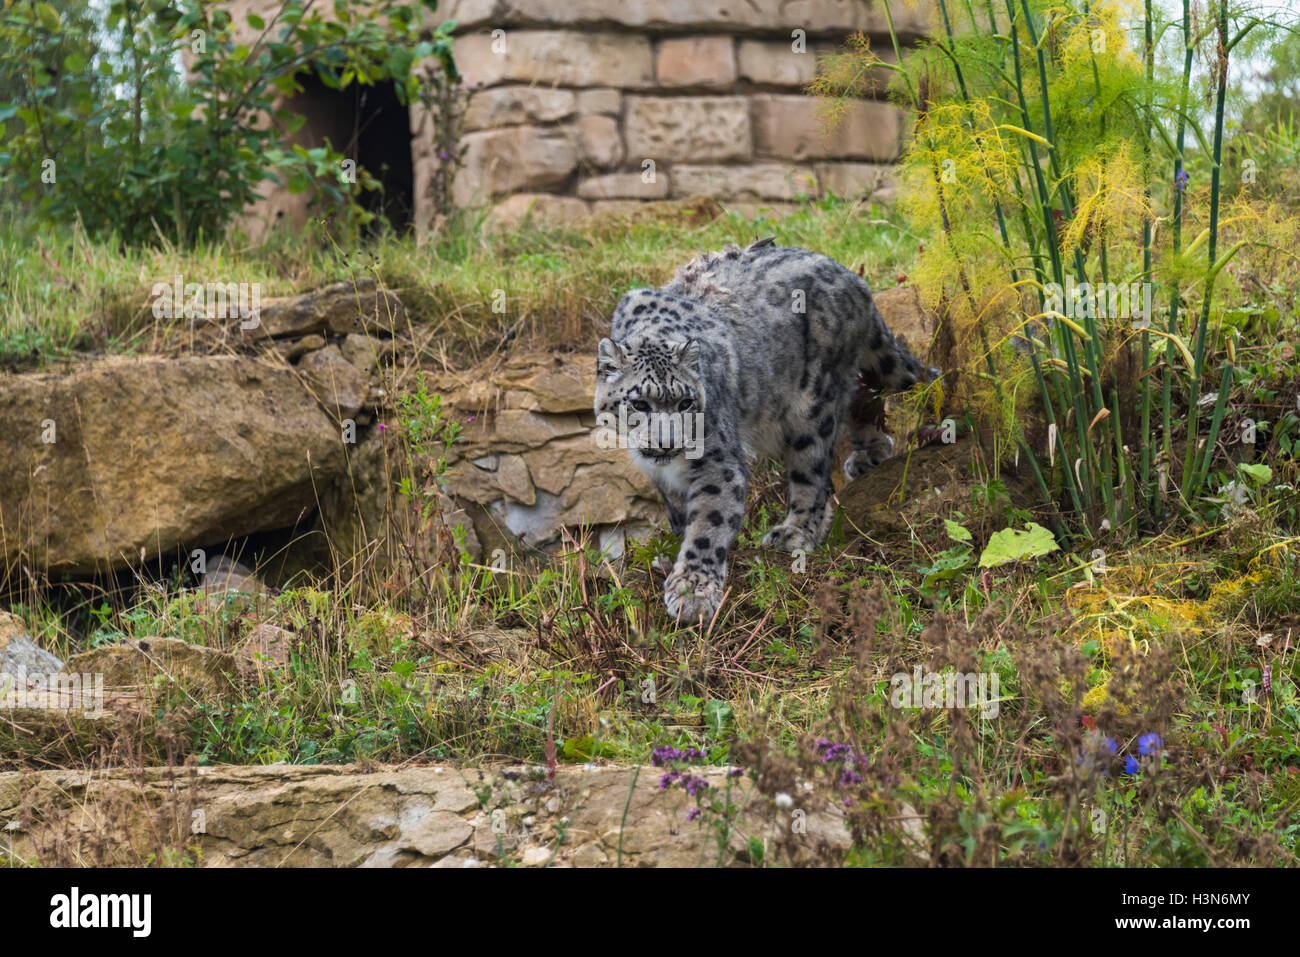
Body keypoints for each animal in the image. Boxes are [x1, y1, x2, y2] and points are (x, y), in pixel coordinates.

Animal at [594, 238, 938, 623]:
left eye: (685, 404)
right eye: (640, 404)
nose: (668, 443)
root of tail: (851, 277)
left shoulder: (718, 463)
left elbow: (708, 524)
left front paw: (693, 590)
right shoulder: (662, 476)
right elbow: (679, 514)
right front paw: (674, 558)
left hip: (813, 406)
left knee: (813, 475)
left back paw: (795, 531)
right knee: (863, 394)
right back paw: (869, 453)